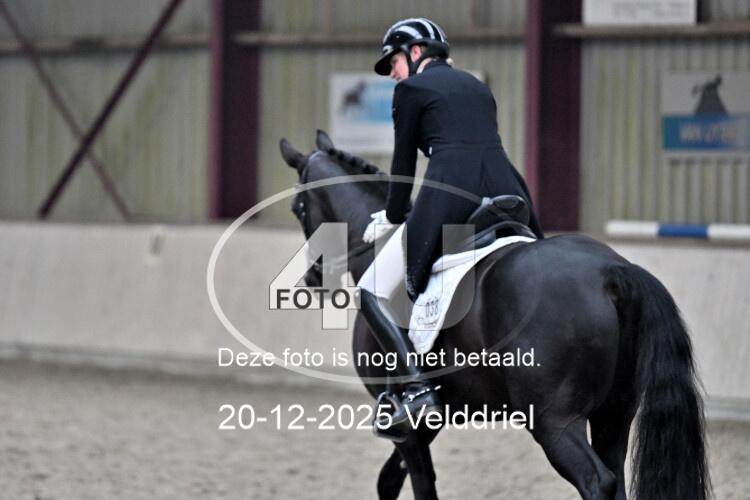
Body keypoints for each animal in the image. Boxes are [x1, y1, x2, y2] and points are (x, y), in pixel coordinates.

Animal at [279, 130, 711, 500]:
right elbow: (389, 480)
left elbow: (420, 484)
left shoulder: (412, 427)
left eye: (298, 208)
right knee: (615, 477)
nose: (313, 279)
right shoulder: (432, 421)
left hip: (554, 421)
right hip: (614, 413)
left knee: (597, 482)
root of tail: (611, 271)